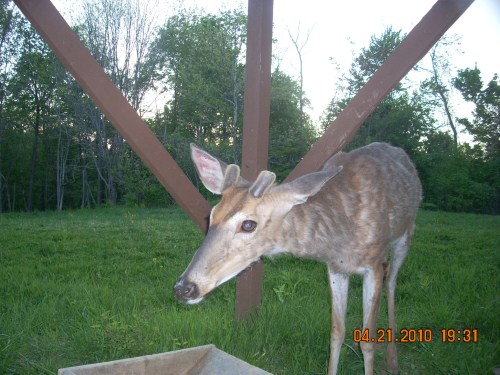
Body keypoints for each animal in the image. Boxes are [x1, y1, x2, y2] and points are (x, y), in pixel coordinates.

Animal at [174, 142, 420, 375]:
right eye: (210, 216)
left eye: (248, 224)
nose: (183, 288)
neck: (340, 238)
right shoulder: (336, 268)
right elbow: (336, 332)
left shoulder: (372, 263)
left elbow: (368, 341)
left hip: (404, 236)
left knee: (391, 281)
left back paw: (392, 360)